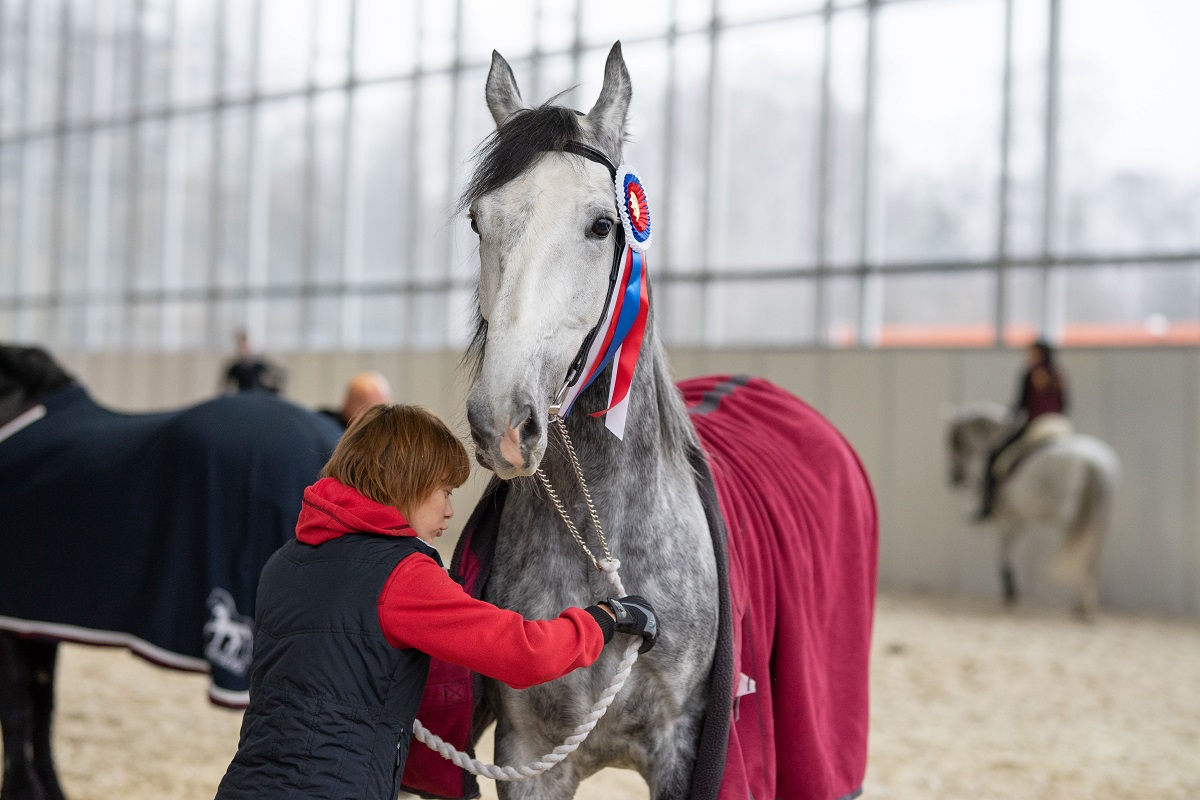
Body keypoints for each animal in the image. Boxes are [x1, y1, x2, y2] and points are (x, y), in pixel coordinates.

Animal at [945, 402, 1123, 623]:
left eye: (955, 441)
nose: (953, 477)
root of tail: (1093, 462)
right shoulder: (1017, 522)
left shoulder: (1011, 521)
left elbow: (1003, 550)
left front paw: (1010, 593)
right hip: (1100, 520)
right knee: (1089, 558)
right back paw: (1084, 607)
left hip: (1072, 520)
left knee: (1081, 555)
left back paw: (1085, 608)